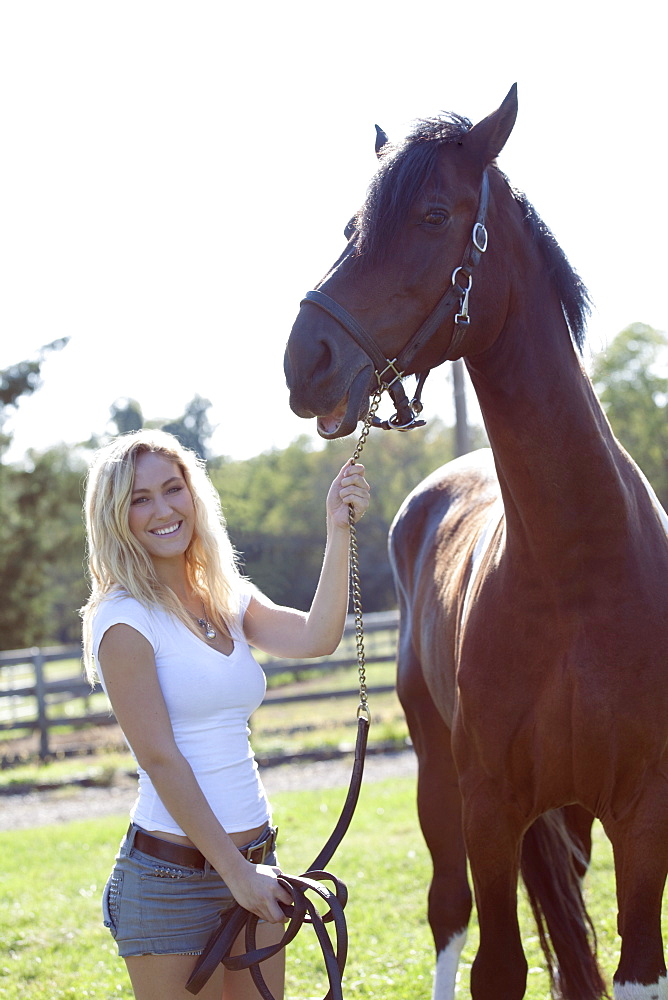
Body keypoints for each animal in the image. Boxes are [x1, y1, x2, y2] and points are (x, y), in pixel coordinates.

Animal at [284, 88, 668, 1000]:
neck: (576, 571)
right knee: (449, 918)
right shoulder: (490, 807)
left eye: (432, 214)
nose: (304, 359)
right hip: (438, 782)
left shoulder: (646, 816)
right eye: (352, 225)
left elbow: (635, 964)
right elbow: (496, 964)